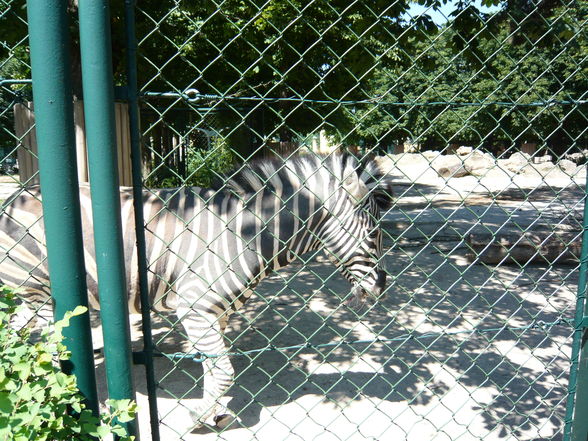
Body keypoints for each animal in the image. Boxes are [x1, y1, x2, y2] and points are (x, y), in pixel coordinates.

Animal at [2, 153, 396, 428]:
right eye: (374, 233)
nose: (382, 285)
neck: (246, 236)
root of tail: (16, 196)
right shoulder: (195, 309)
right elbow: (223, 371)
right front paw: (199, 420)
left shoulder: (216, 315)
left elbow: (214, 368)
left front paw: (215, 412)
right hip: (37, 292)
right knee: (29, 342)